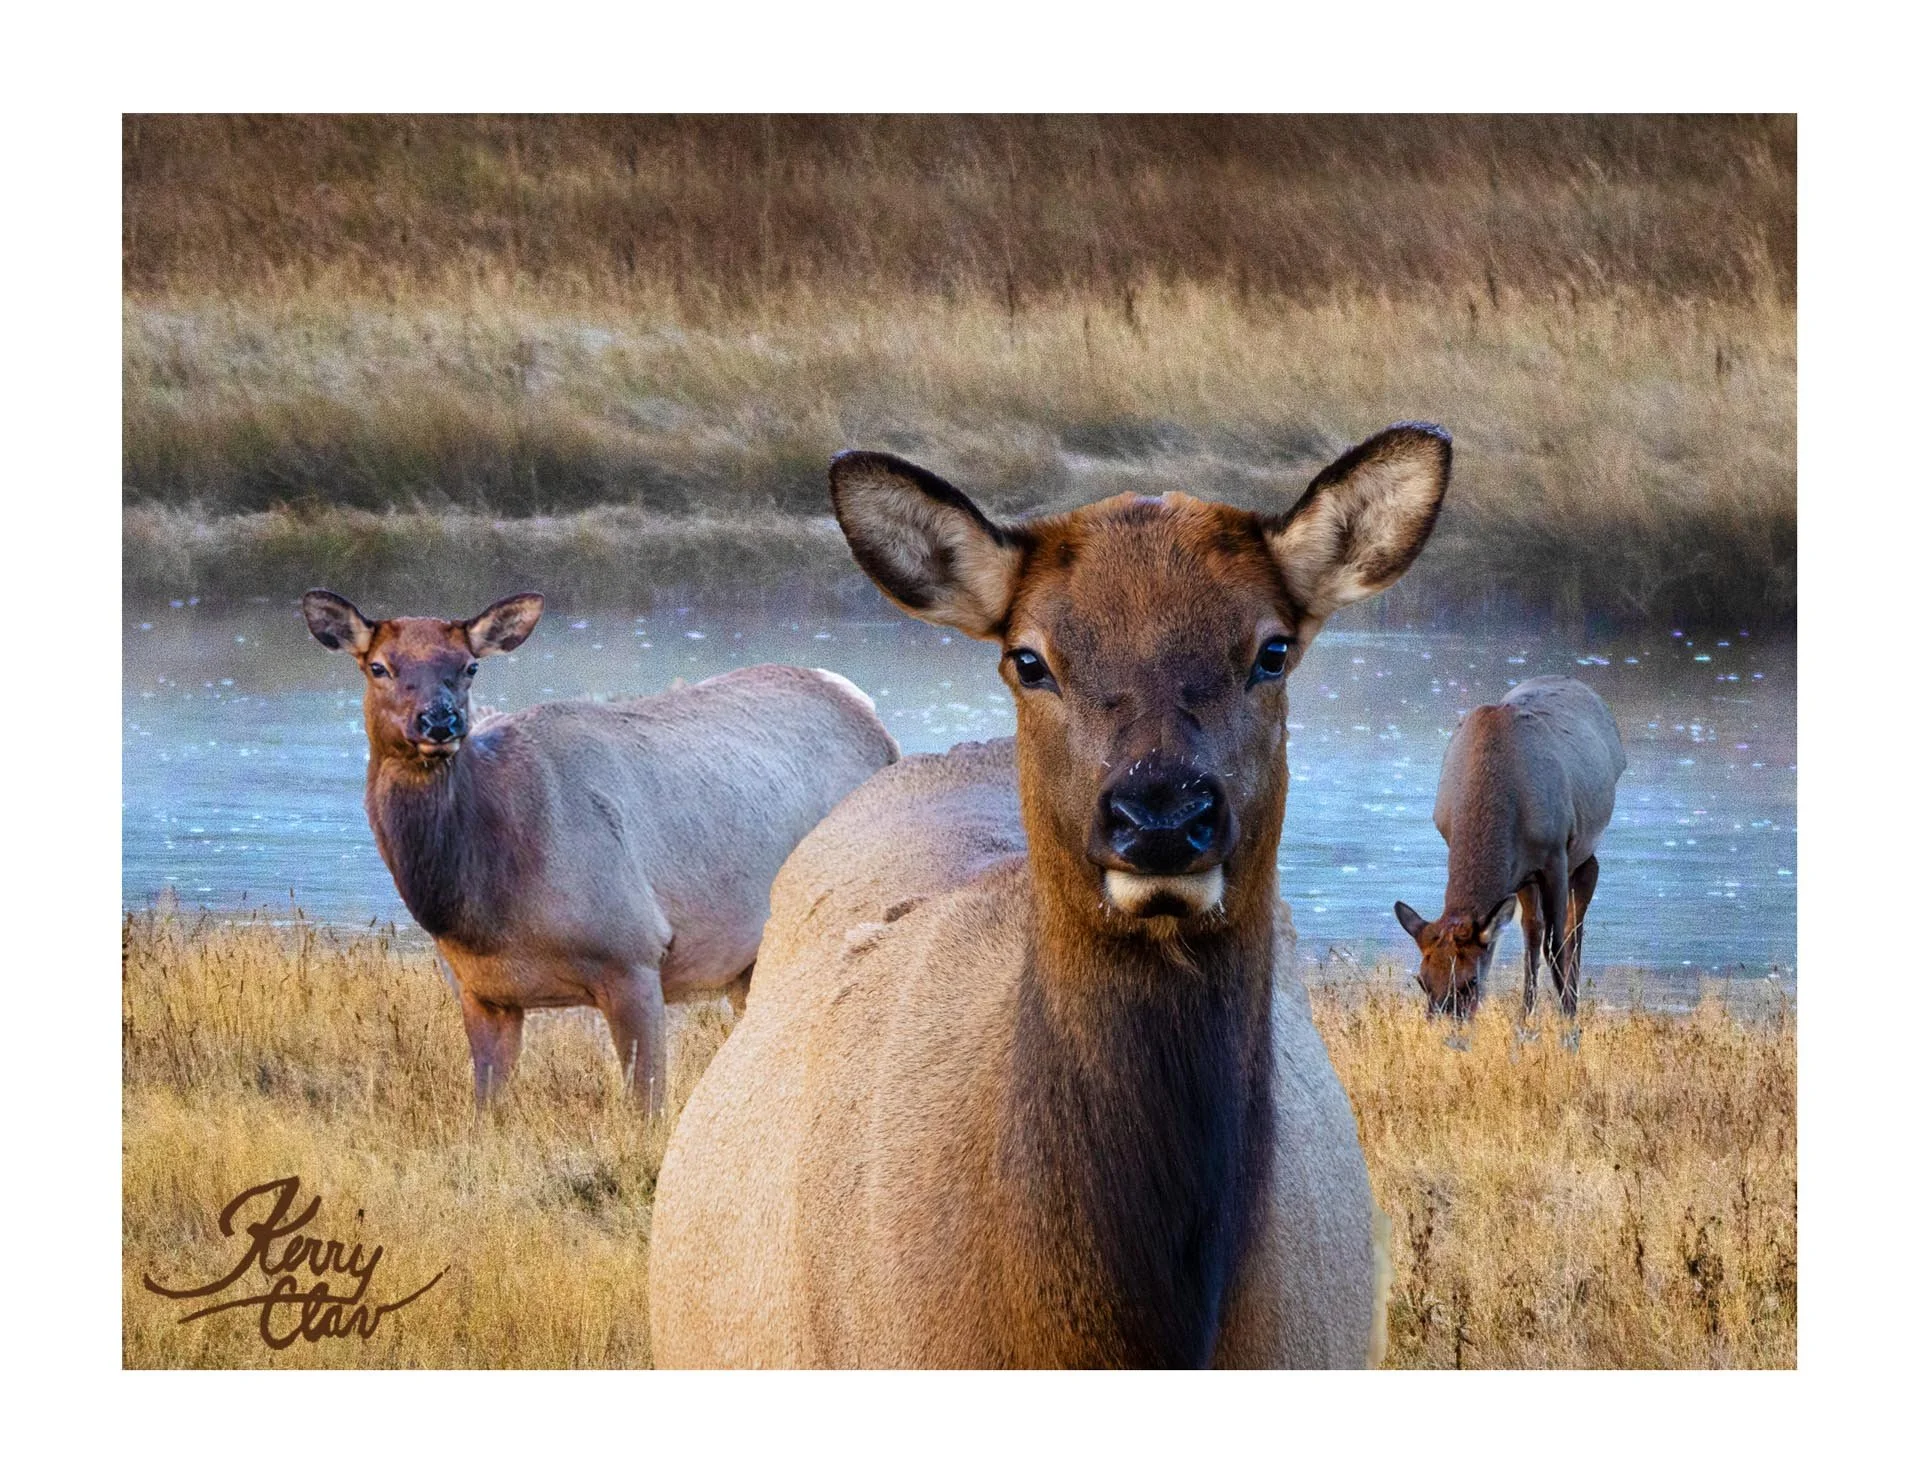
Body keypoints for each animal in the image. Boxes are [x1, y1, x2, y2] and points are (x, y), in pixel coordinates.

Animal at [299, 590, 899, 1111]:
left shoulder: (633, 952)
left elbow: (647, 1108)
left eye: (469, 667)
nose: (441, 721)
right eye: (378, 667)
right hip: (753, 963)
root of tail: (877, 725)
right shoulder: (479, 990)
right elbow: (486, 1109)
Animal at [1393, 676, 1627, 1020]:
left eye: (1471, 981)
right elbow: (1533, 937)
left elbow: (1556, 946)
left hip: (1581, 850)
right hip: (1524, 875)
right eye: (1422, 981)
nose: (1445, 1023)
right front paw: (1526, 1022)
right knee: (1533, 931)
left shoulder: (1556, 854)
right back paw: (1527, 1014)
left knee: (1575, 918)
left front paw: (1568, 1024)